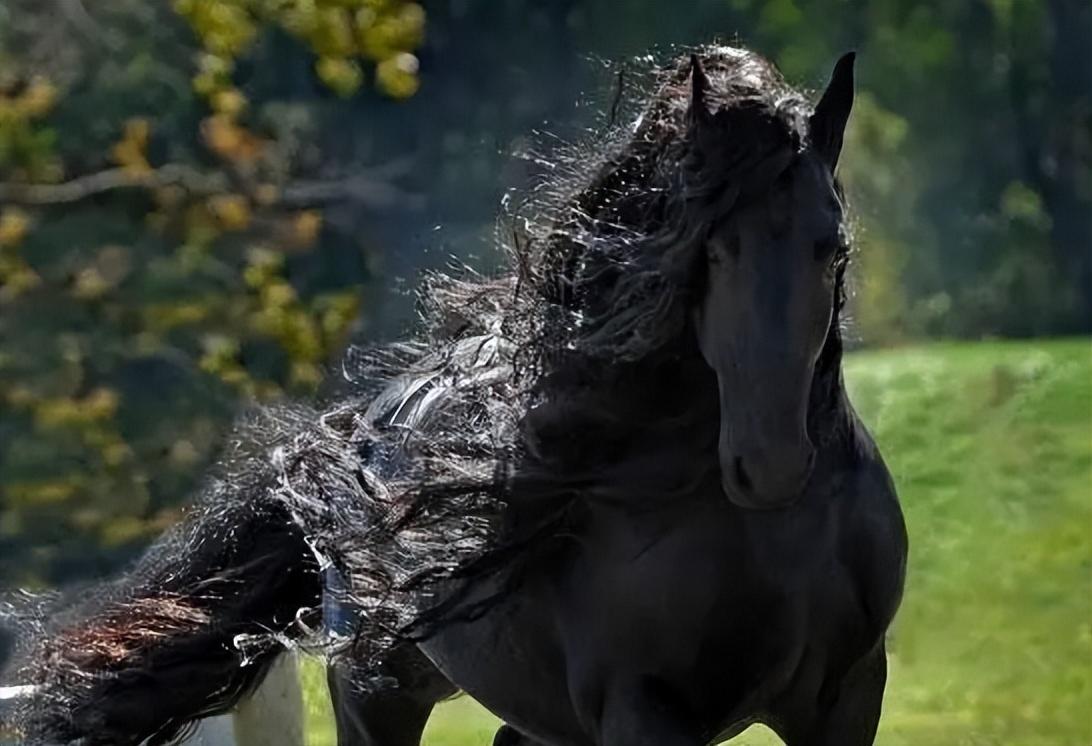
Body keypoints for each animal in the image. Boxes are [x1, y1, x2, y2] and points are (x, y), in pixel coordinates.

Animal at [0, 45, 907, 746]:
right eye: (710, 252)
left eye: (831, 247)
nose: (770, 463)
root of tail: (356, 432)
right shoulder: (643, 713)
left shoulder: (844, 700)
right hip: (378, 695)